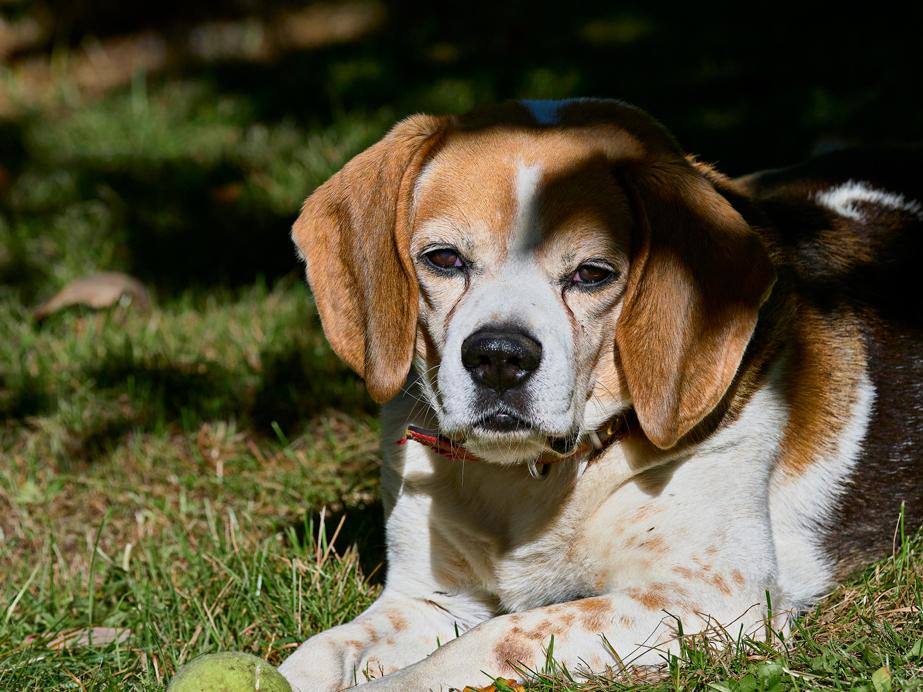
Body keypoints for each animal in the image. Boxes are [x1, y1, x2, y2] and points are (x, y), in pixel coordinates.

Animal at [278, 100, 920, 688]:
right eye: (444, 259)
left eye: (591, 273)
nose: (499, 358)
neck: (533, 482)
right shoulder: (427, 598)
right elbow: (320, 652)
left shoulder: (710, 599)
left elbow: (499, 635)